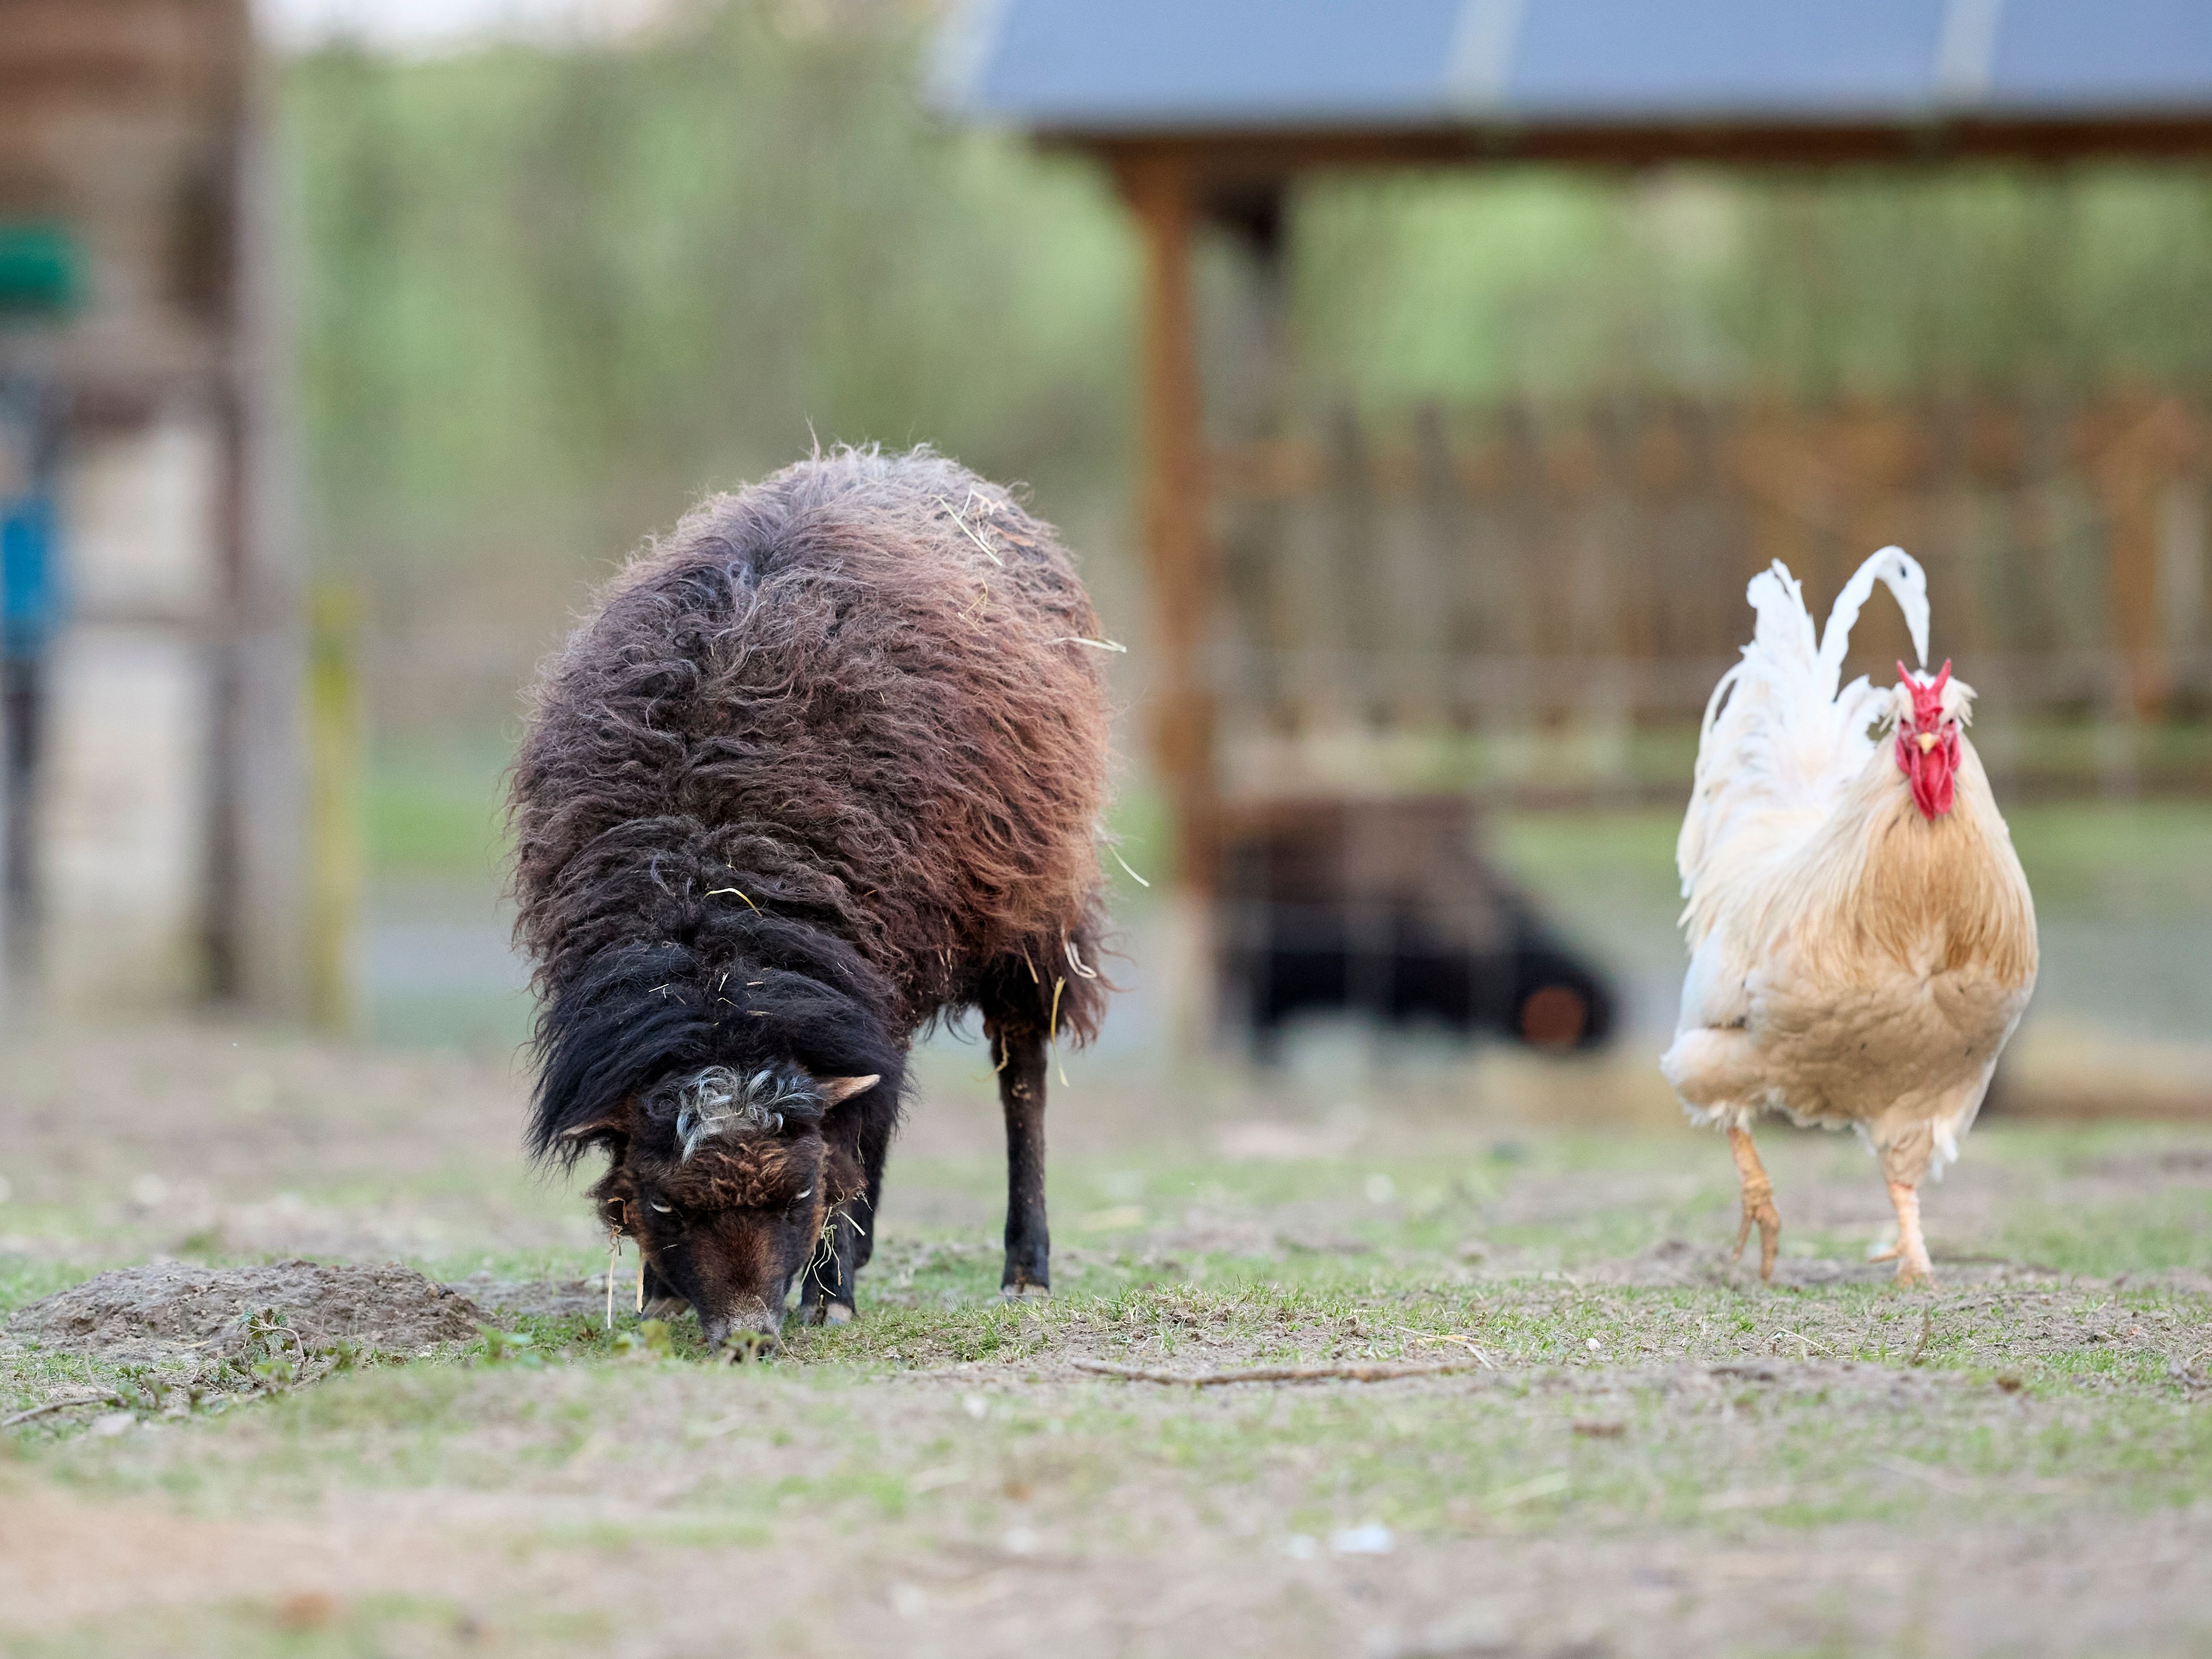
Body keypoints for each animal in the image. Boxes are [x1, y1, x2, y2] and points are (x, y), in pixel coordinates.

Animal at [509, 448, 1113, 1351]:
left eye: (794, 1195)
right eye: (666, 1204)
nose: (749, 1336)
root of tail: (902, 459)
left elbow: (851, 1144)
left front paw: (830, 1290)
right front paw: (662, 1293)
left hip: (1031, 918)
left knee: (1022, 1077)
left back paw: (1023, 1270)